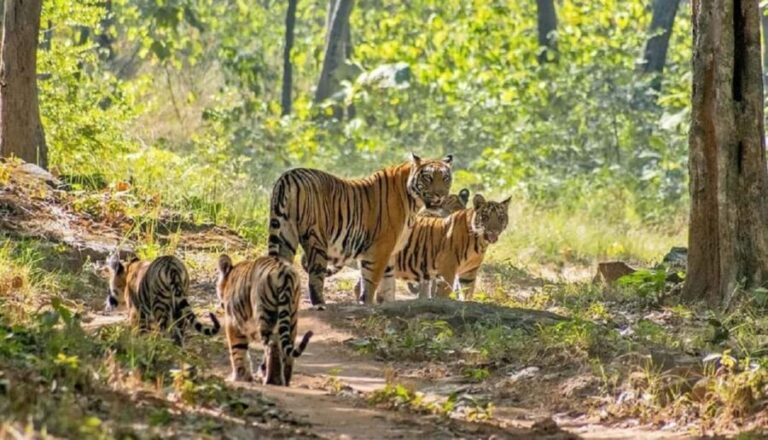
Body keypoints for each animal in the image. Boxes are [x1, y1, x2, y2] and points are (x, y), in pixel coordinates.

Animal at [216, 254, 313, 386]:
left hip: (264, 315)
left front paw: (240, 378)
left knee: (272, 345)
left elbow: (238, 350)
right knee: (287, 350)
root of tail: (284, 271)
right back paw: (285, 381)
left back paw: (273, 380)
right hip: (292, 318)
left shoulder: (233, 322)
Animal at [267, 153, 454, 306]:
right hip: (316, 238)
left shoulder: (391, 251)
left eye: (445, 178)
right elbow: (370, 282)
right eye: (428, 178)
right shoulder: (380, 249)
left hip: (285, 235)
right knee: (315, 276)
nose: (440, 195)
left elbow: (387, 284)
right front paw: (368, 304)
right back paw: (319, 304)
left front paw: (387, 305)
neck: (414, 202)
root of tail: (289, 176)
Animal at [357, 193, 510, 302]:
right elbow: (443, 294)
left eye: (500, 217)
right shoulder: (447, 269)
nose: (494, 230)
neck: (480, 242)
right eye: (486, 217)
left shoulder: (469, 273)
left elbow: (467, 294)